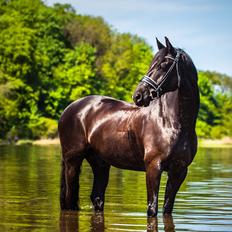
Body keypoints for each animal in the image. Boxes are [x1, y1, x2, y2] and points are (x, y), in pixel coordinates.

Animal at [58, 37, 199, 217]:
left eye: (164, 64)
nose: (138, 95)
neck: (173, 123)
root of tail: (70, 108)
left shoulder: (179, 171)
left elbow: (167, 208)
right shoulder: (153, 167)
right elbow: (152, 208)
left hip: (100, 163)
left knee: (97, 197)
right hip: (72, 161)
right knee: (70, 198)